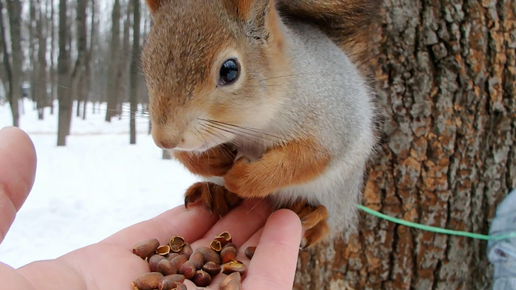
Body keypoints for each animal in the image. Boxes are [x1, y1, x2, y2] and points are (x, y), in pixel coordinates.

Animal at [141, 0, 378, 247]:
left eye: (229, 70)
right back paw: (215, 192)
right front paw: (211, 161)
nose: (164, 140)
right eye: (147, 63)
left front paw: (243, 178)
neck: (251, 128)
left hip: (338, 193)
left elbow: (304, 160)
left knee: (330, 222)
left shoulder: (330, 121)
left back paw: (313, 216)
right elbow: (183, 154)